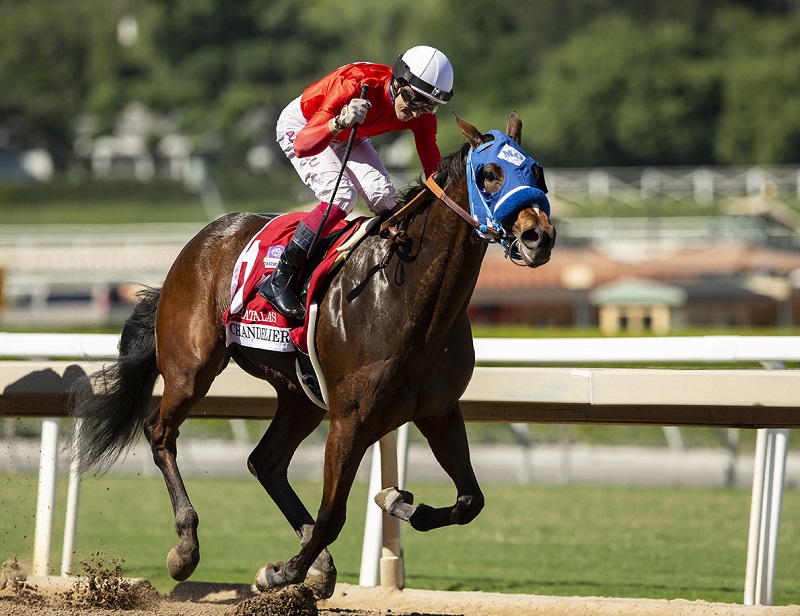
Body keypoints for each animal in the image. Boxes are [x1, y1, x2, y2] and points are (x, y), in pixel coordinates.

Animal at [70, 110, 556, 596]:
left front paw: (395, 499)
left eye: (536, 171)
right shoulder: (350, 417)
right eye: (489, 174)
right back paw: (187, 548)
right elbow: (333, 514)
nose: (539, 237)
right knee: (160, 432)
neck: (406, 298)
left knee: (265, 461)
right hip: (191, 369)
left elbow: (470, 500)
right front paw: (283, 571)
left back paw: (317, 560)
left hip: (300, 394)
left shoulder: (438, 410)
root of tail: (200, 241)